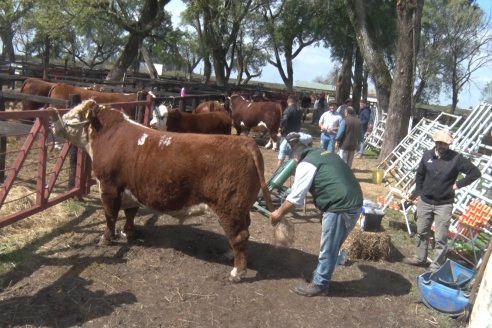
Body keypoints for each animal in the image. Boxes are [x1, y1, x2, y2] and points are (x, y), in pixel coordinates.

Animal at [52, 100, 272, 282]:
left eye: (76, 113)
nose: (55, 124)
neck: (109, 135)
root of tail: (245, 143)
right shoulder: (131, 189)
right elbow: (130, 212)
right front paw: (127, 232)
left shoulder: (108, 187)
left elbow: (110, 216)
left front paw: (106, 239)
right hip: (241, 208)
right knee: (243, 231)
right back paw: (229, 254)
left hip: (230, 207)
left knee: (240, 236)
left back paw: (237, 272)